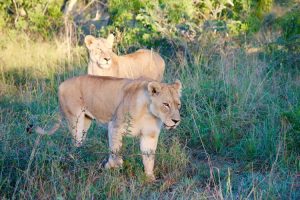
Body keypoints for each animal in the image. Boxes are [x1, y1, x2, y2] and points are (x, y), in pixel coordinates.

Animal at [33, 75, 182, 181]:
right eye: (166, 104)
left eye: (178, 105)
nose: (176, 121)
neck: (149, 113)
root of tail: (62, 84)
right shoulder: (115, 126)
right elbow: (115, 151)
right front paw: (111, 165)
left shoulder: (149, 135)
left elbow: (149, 158)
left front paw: (149, 178)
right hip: (76, 121)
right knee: (74, 144)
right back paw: (76, 159)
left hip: (85, 123)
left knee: (79, 144)